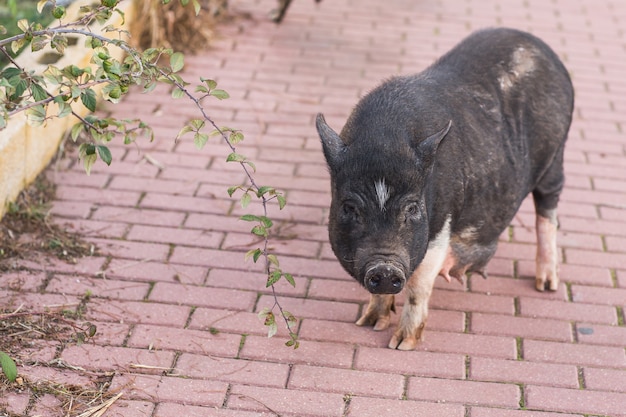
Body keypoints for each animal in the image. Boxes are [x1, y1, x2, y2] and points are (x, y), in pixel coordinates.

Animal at [316, 27, 572, 350]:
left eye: (413, 207)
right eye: (349, 207)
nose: (385, 269)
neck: (385, 143)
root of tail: (542, 47)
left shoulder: (441, 226)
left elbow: (418, 285)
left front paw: (401, 345)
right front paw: (368, 324)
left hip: (556, 159)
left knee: (548, 213)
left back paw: (546, 285)